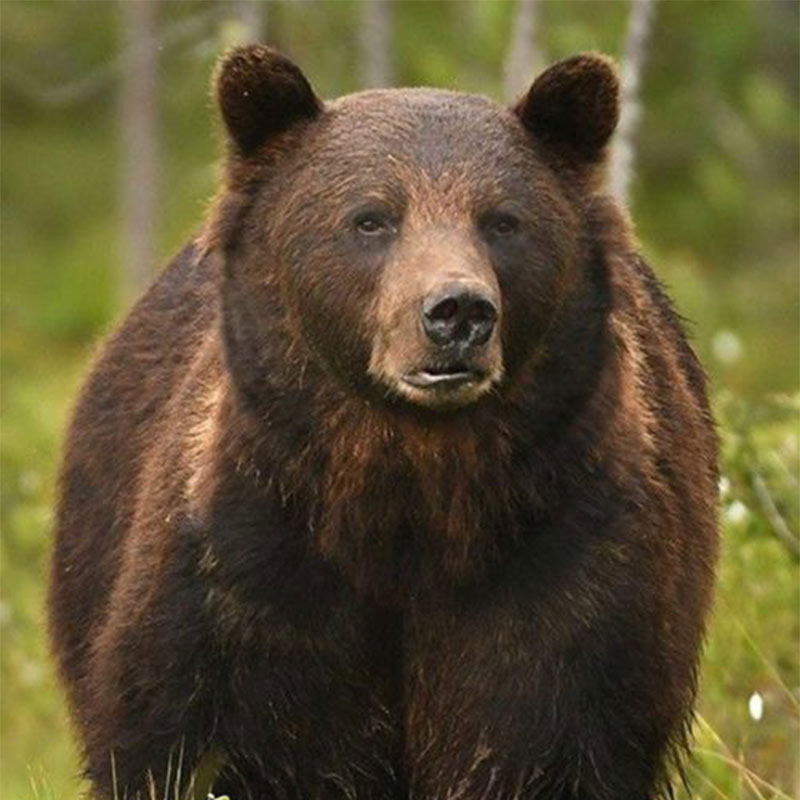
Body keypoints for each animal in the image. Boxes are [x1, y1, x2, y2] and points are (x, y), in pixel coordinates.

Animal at [49, 45, 719, 800]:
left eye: (502, 219)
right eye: (371, 218)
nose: (458, 311)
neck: (405, 497)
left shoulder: (566, 568)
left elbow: (543, 735)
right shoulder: (246, 569)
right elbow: (194, 734)